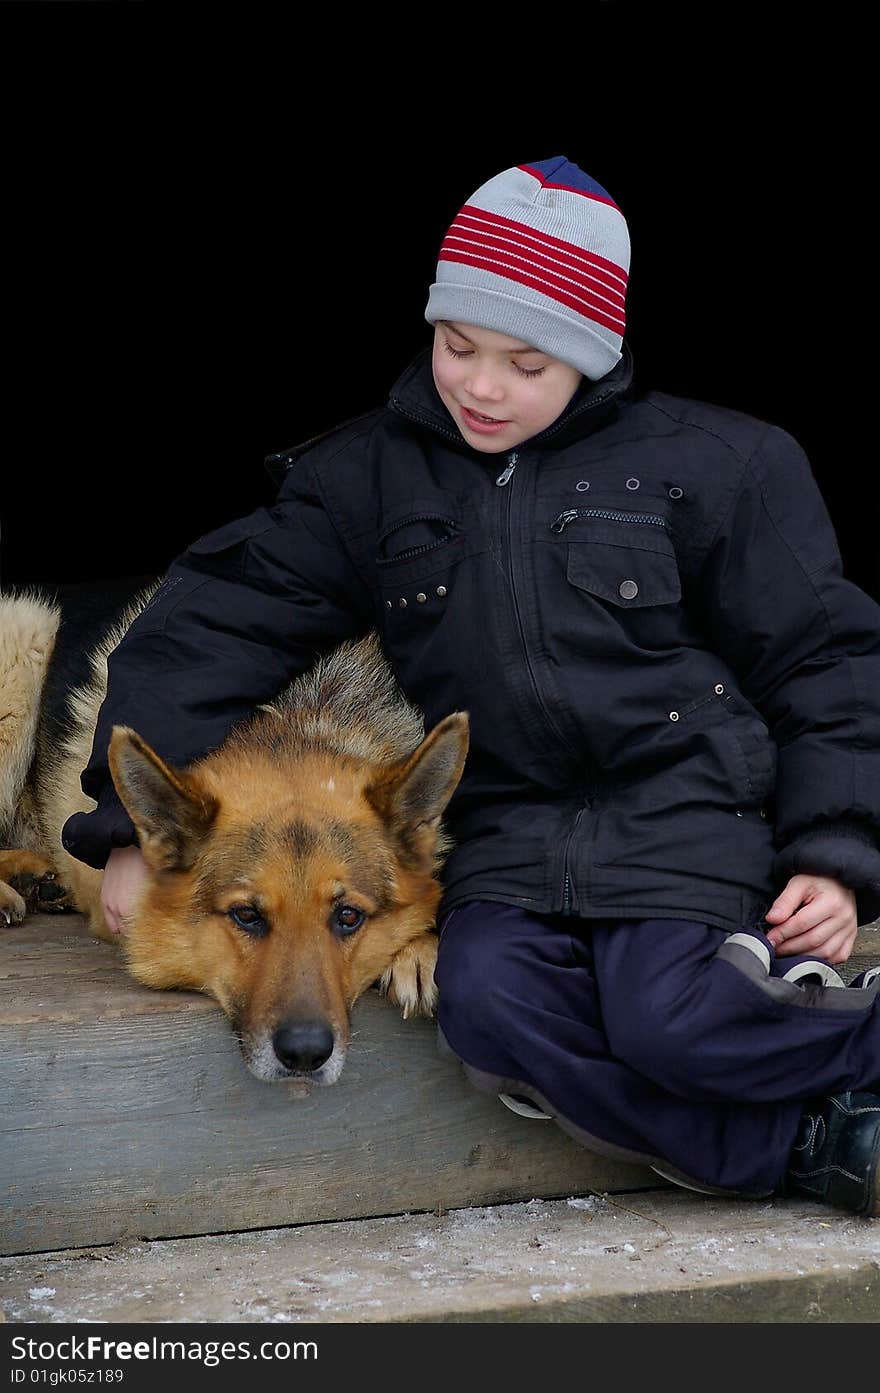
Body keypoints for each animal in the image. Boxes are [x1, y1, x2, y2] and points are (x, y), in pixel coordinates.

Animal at [1, 582, 467, 1080]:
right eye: (246, 916)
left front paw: (421, 948)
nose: (305, 1054)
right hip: (25, 633)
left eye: (348, 917)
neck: (293, 726)